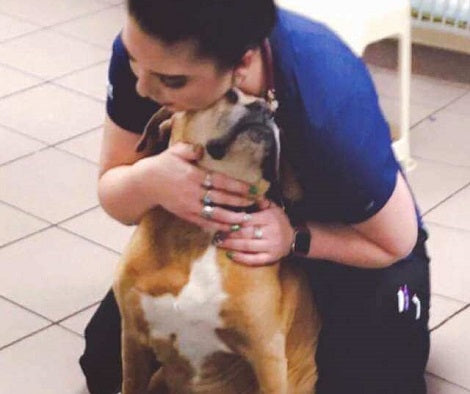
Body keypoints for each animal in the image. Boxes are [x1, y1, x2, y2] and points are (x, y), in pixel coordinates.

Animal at [112, 89, 322, 394]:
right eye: (227, 94)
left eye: (275, 110)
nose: (263, 110)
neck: (200, 233)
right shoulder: (132, 339)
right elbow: (130, 382)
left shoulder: (267, 356)